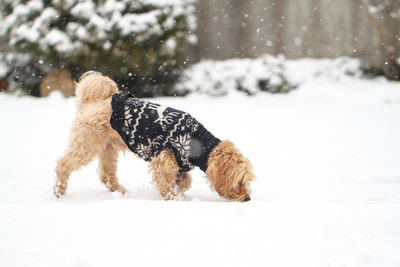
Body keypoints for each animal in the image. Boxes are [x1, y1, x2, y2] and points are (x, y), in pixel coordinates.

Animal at [53, 71, 255, 201]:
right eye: (239, 181)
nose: (247, 199)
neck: (197, 142)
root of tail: (92, 104)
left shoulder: (180, 165)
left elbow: (183, 182)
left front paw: (180, 193)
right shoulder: (164, 160)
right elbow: (167, 183)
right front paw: (172, 199)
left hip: (108, 149)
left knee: (106, 175)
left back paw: (121, 192)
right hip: (87, 145)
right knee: (63, 165)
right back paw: (59, 191)